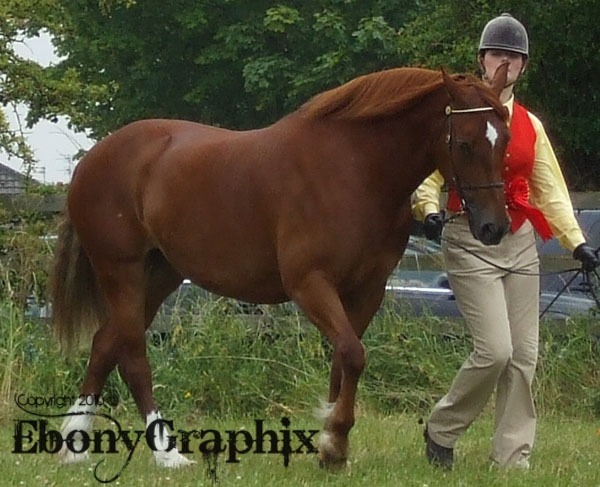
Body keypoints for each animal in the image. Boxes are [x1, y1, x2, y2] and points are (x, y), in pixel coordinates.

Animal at [51, 63, 510, 469]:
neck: (354, 169)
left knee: (105, 343)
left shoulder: (367, 290)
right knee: (131, 354)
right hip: (121, 270)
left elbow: (343, 359)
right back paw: (167, 453)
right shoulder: (310, 284)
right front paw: (335, 439)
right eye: (465, 143)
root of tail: (95, 158)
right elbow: (353, 354)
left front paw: (330, 447)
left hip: (161, 273)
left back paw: (76, 445)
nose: (494, 227)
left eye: (504, 139)